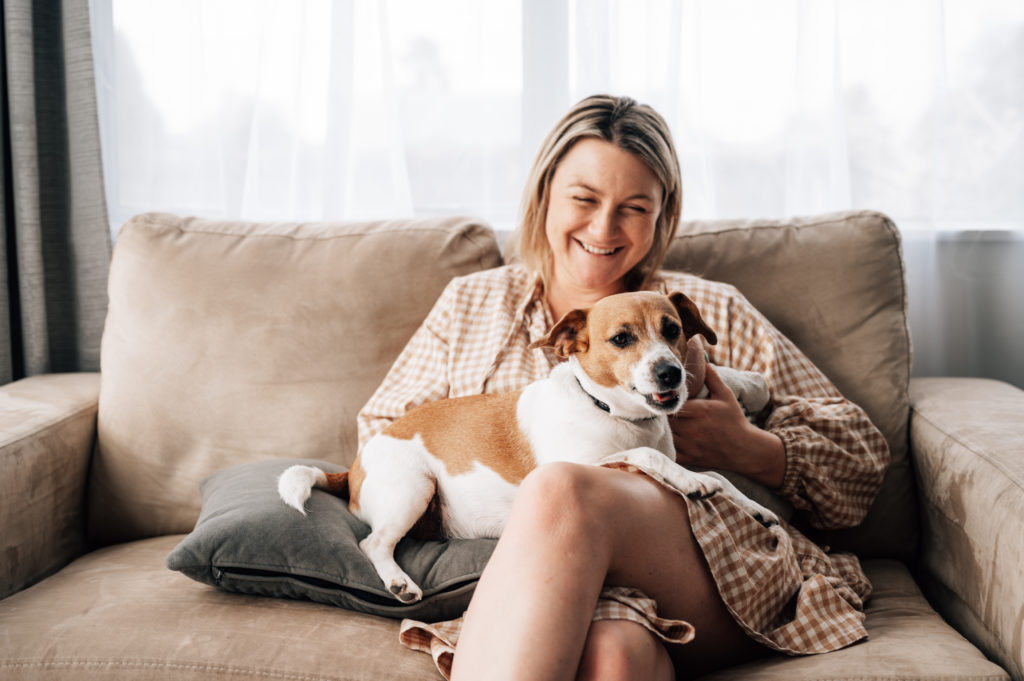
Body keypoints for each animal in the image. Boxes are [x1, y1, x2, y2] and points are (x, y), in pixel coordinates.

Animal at [280, 288, 774, 602]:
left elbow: (717, 475)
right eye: (622, 339)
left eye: (672, 330)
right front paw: (691, 483)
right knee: (373, 544)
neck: (609, 411)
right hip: (414, 487)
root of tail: (352, 468)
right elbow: (651, 456)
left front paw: (753, 506)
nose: (670, 373)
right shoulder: (588, 461)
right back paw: (399, 581)